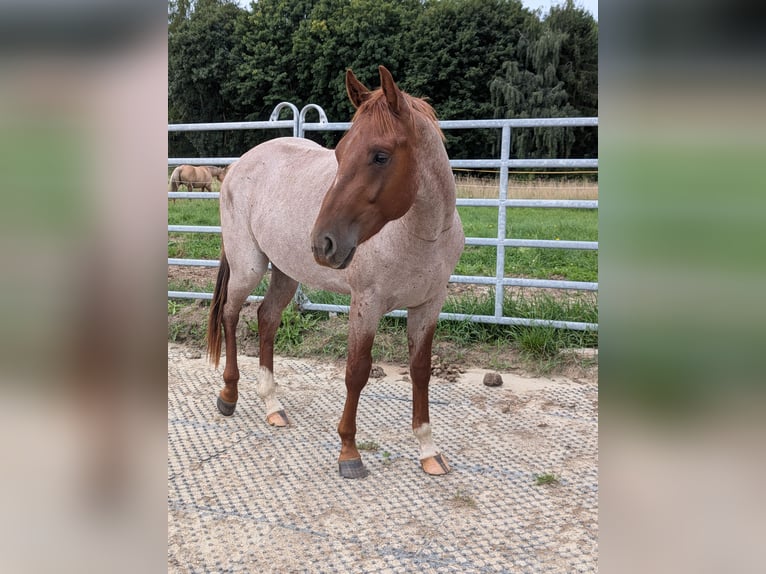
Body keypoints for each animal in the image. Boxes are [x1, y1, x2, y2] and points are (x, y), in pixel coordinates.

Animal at [206, 66, 464, 479]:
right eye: (341, 153)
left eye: (380, 156)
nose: (323, 242)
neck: (422, 234)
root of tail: (238, 166)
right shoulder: (367, 303)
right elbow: (356, 371)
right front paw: (348, 452)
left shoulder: (429, 305)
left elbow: (421, 370)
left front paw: (428, 449)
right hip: (248, 266)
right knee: (231, 316)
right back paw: (229, 396)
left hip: (286, 272)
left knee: (266, 319)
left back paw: (273, 406)